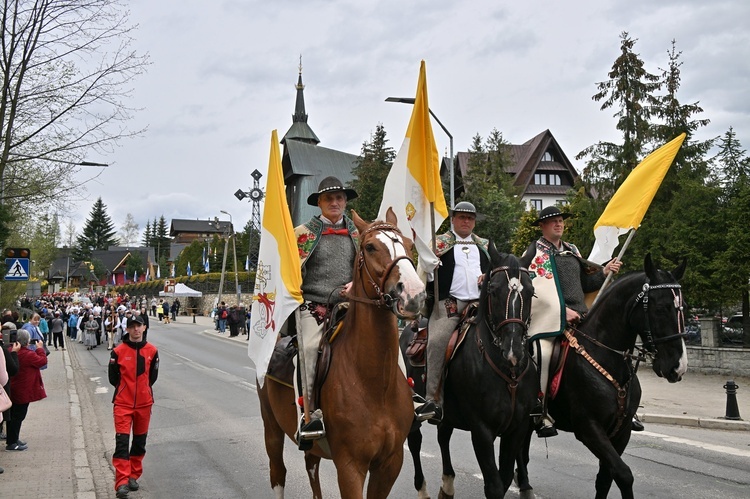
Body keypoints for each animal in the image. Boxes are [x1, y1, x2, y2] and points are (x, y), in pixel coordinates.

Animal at [258, 209, 426, 498]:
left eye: (408, 243)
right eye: (370, 247)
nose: (413, 294)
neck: (374, 384)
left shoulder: (390, 463)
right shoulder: (350, 466)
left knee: (311, 468)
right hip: (271, 427)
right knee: (277, 472)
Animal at [402, 252, 536, 499]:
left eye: (531, 291)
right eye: (493, 290)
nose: (513, 350)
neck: (508, 373)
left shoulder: (517, 428)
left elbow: (504, 480)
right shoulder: (481, 430)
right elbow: (494, 486)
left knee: (443, 435)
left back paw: (447, 484)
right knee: (415, 440)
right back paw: (422, 489)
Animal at [520, 254, 692, 499]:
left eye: (683, 307)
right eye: (660, 308)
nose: (679, 366)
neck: (604, 354)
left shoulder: (621, 431)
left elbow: (605, 479)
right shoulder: (589, 428)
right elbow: (623, 474)